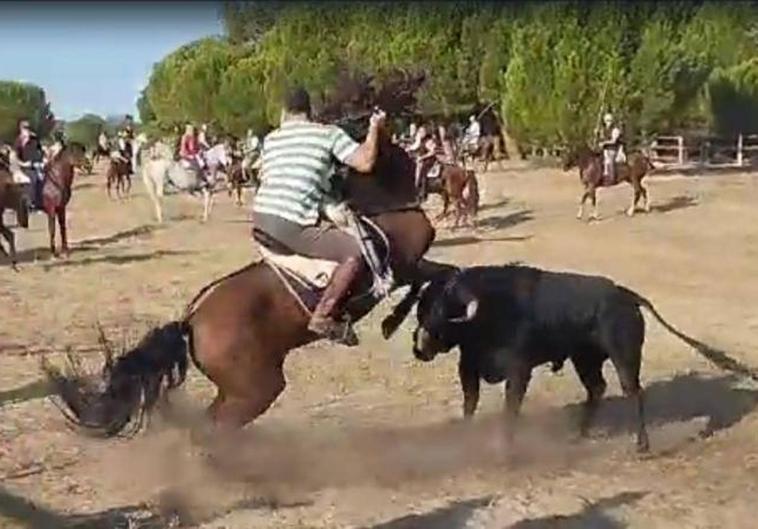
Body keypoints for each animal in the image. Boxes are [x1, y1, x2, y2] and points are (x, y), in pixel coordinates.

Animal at [46, 69, 458, 442]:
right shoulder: (405, 265)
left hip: (240, 388)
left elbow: (440, 275)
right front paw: (397, 324)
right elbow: (439, 275)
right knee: (213, 429)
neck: (382, 202)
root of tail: (190, 321)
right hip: (256, 388)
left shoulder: (408, 267)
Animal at [386, 262, 758, 450]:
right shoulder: (469, 369)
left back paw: (641, 445)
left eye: (446, 309)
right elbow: (469, 406)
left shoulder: (519, 371)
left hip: (624, 357)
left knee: (633, 392)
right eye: (422, 307)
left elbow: (510, 410)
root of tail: (625, 295)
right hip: (585, 359)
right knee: (596, 389)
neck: (492, 310)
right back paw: (580, 435)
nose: (420, 348)